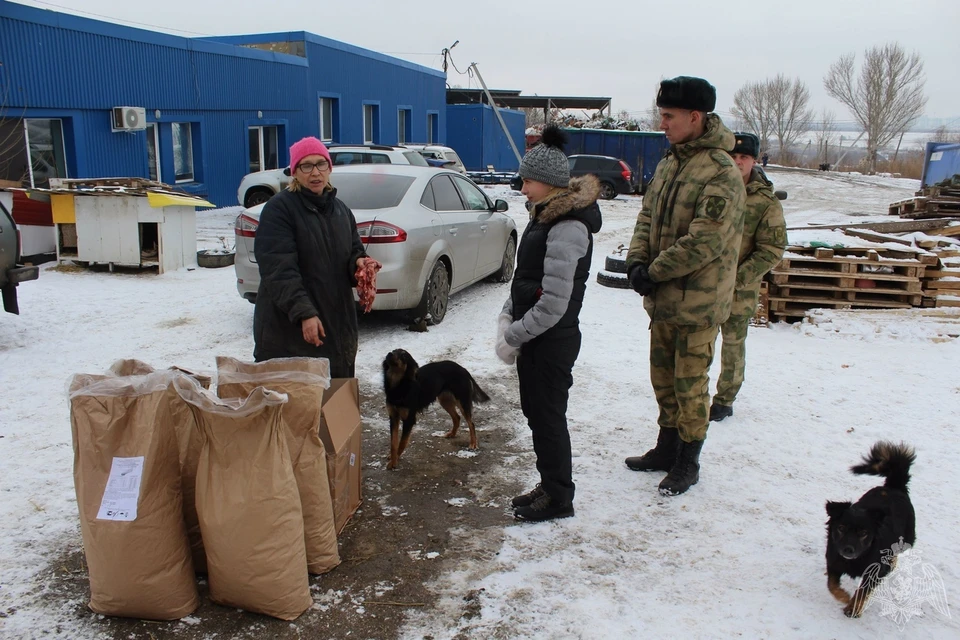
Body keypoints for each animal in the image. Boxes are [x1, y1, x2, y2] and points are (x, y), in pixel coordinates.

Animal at [824, 442, 916, 616]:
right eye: (841, 528)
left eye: (863, 533)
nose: (848, 549)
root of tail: (894, 486)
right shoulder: (833, 560)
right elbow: (831, 585)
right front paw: (843, 596)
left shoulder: (874, 572)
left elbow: (862, 592)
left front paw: (852, 608)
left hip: (908, 538)